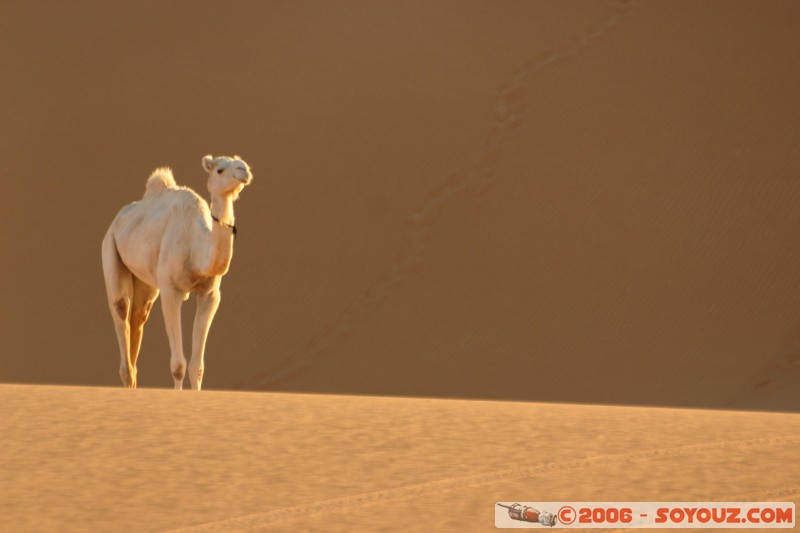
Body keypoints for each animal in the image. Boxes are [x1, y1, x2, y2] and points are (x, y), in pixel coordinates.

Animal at [101, 154, 253, 390]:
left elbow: (196, 367)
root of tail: (117, 220)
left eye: (240, 162)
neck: (195, 245)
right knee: (121, 307)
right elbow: (178, 365)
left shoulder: (210, 295)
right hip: (110, 247)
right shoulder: (171, 291)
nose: (243, 170)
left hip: (146, 279)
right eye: (219, 169)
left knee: (139, 314)